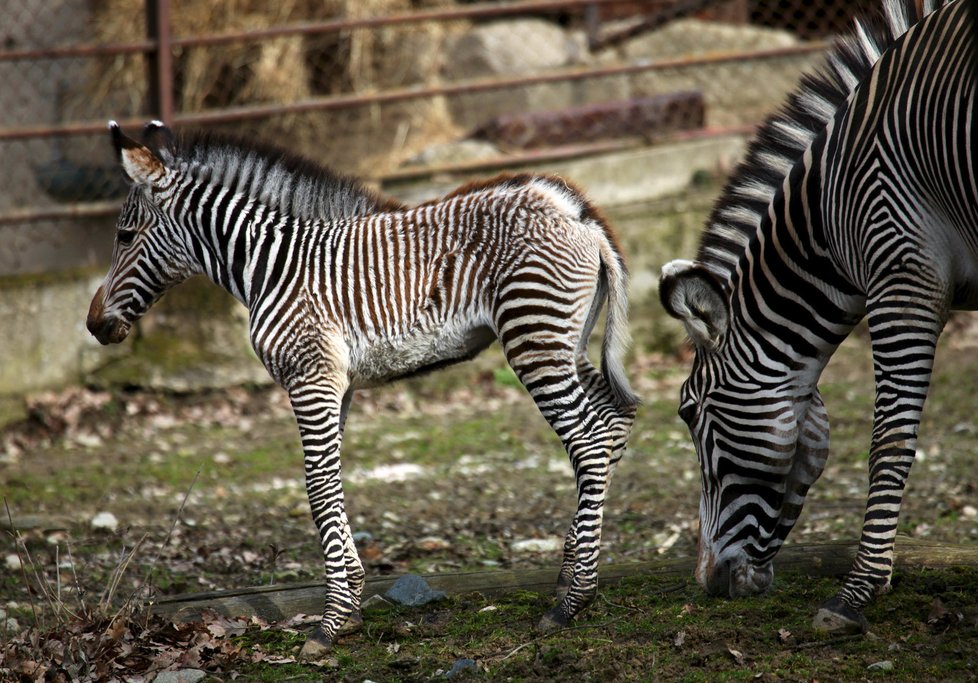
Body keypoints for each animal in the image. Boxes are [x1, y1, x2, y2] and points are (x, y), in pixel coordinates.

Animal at [89, 123, 640, 656]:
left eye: (124, 235)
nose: (95, 326)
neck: (270, 266)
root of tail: (575, 211)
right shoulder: (338, 383)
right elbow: (330, 485)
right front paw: (350, 607)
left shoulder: (310, 376)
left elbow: (317, 488)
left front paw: (330, 624)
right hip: (566, 340)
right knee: (614, 421)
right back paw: (572, 570)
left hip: (534, 336)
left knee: (588, 441)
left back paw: (572, 600)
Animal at [656, 0, 976, 632]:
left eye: (688, 412)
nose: (706, 583)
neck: (824, 216)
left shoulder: (903, 273)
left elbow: (889, 440)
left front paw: (855, 594)